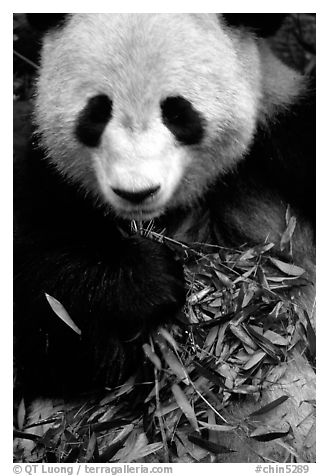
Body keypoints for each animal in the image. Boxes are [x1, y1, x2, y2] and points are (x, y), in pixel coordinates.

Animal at [14, 13, 314, 462]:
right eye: (97, 112)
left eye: (177, 112)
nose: (136, 192)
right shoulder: (49, 180)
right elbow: (45, 313)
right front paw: (149, 280)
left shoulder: (283, 136)